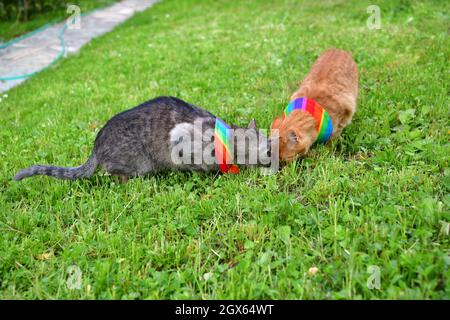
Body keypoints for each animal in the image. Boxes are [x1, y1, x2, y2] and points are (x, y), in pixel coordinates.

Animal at [14, 96, 272, 181]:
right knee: (115, 173)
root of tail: (96, 147)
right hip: (137, 163)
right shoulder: (183, 146)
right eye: (268, 149)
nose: (273, 154)